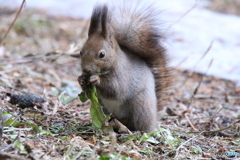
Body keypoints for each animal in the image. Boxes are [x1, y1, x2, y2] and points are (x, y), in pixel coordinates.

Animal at [78, 0, 170, 131]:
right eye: (80, 52)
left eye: (102, 54)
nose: (86, 69)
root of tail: (154, 120)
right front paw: (81, 79)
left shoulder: (123, 75)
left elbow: (116, 89)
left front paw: (96, 79)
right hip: (103, 105)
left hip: (139, 105)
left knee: (137, 124)